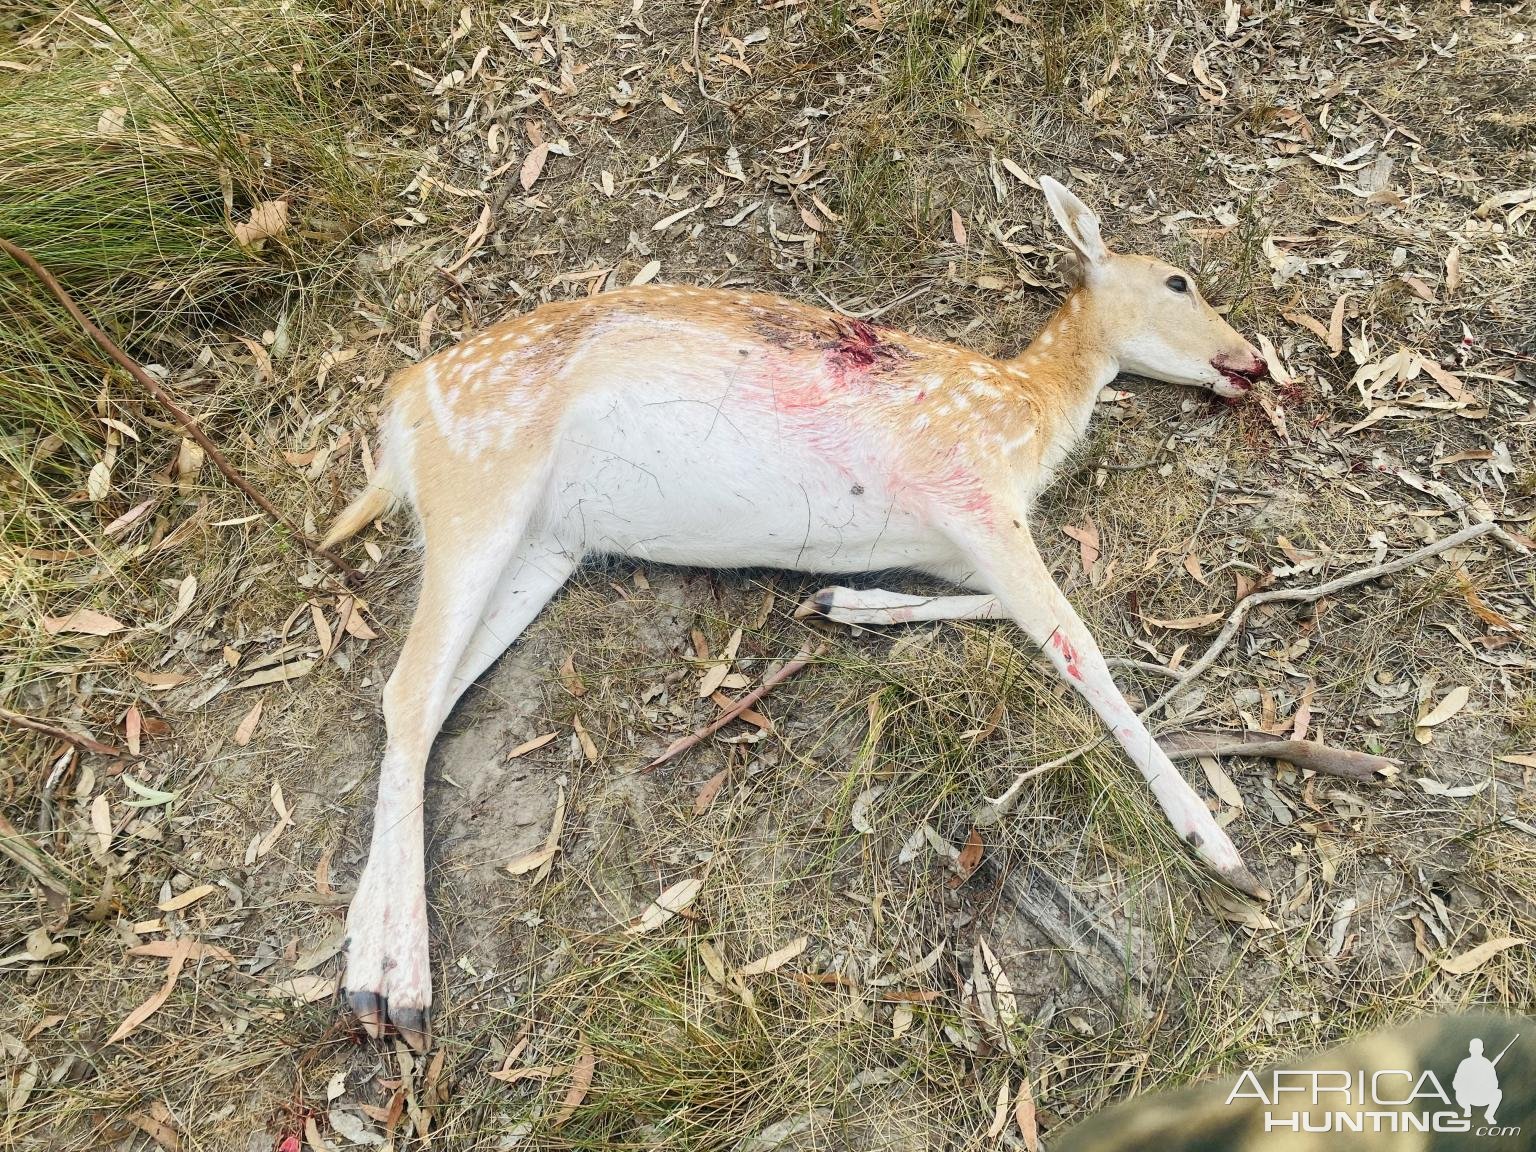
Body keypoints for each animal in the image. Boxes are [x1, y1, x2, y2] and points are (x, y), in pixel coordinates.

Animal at [321, 178, 1271, 1044]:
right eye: (1179, 281)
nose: (1253, 359)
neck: (1028, 418)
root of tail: (399, 410)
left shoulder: (956, 540)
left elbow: (1008, 614)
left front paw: (851, 603)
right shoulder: (968, 486)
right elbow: (1075, 641)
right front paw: (1219, 847)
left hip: (546, 543)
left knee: (426, 699)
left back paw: (367, 967)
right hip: (481, 482)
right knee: (407, 688)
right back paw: (398, 988)